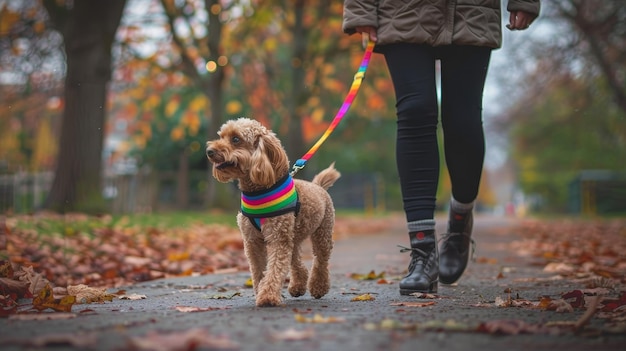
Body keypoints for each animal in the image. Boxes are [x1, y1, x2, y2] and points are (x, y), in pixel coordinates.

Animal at [205, 118, 338, 308]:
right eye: (221, 136)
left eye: (236, 139)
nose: (209, 151)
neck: (258, 191)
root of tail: (318, 186)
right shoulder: (252, 241)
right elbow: (259, 271)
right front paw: (261, 290)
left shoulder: (278, 239)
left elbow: (275, 268)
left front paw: (267, 296)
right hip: (293, 235)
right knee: (296, 261)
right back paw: (297, 287)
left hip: (322, 233)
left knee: (321, 260)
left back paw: (319, 287)